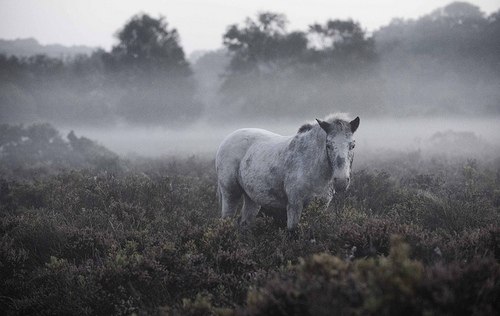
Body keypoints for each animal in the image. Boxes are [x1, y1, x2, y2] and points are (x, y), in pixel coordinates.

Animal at [216, 113, 360, 230]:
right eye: (328, 145)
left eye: (352, 145)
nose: (341, 181)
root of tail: (226, 140)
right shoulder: (295, 205)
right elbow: (293, 231)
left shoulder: (321, 206)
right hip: (230, 194)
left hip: (252, 198)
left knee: (244, 223)